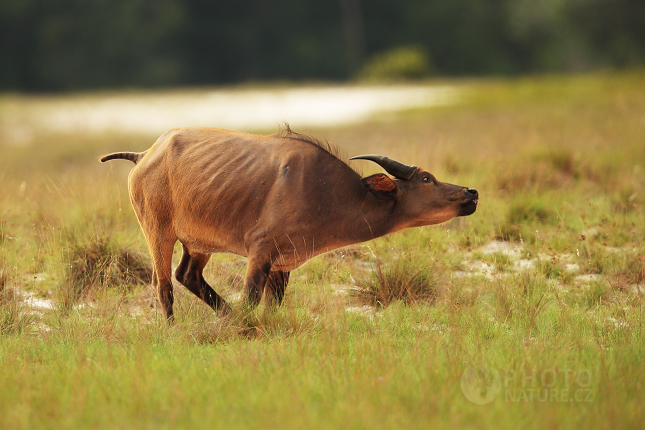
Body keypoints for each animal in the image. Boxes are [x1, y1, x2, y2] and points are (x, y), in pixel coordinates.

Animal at [102, 125, 478, 320]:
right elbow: (252, 298)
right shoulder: (260, 252)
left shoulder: (282, 265)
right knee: (164, 286)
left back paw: (226, 316)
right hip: (158, 233)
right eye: (427, 178)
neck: (326, 190)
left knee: (187, 276)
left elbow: (272, 306)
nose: (471, 192)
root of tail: (145, 154)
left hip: (198, 243)